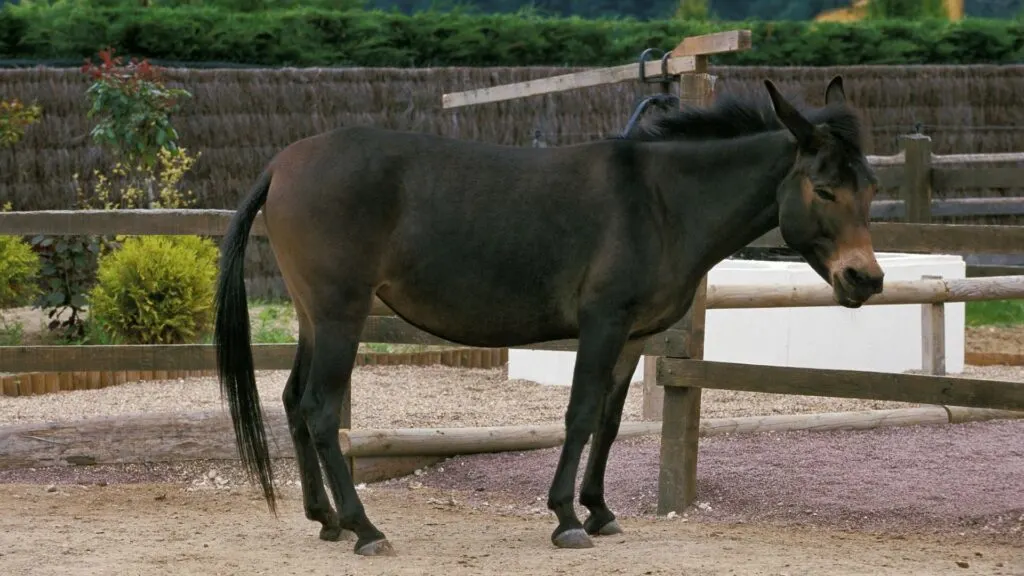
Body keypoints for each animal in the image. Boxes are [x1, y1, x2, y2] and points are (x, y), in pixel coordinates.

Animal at [213, 75, 884, 556]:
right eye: (824, 189)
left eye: (870, 189)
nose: (867, 279)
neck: (660, 201)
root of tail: (282, 164)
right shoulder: (603, 324)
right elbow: (580, 414)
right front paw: (565, 517)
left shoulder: (633, 337)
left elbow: (609, 422)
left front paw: (600, 510)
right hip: (340, 315)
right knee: (322, 411)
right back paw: (364, 528)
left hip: (313, 317)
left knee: (293, 402)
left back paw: (325, 519)